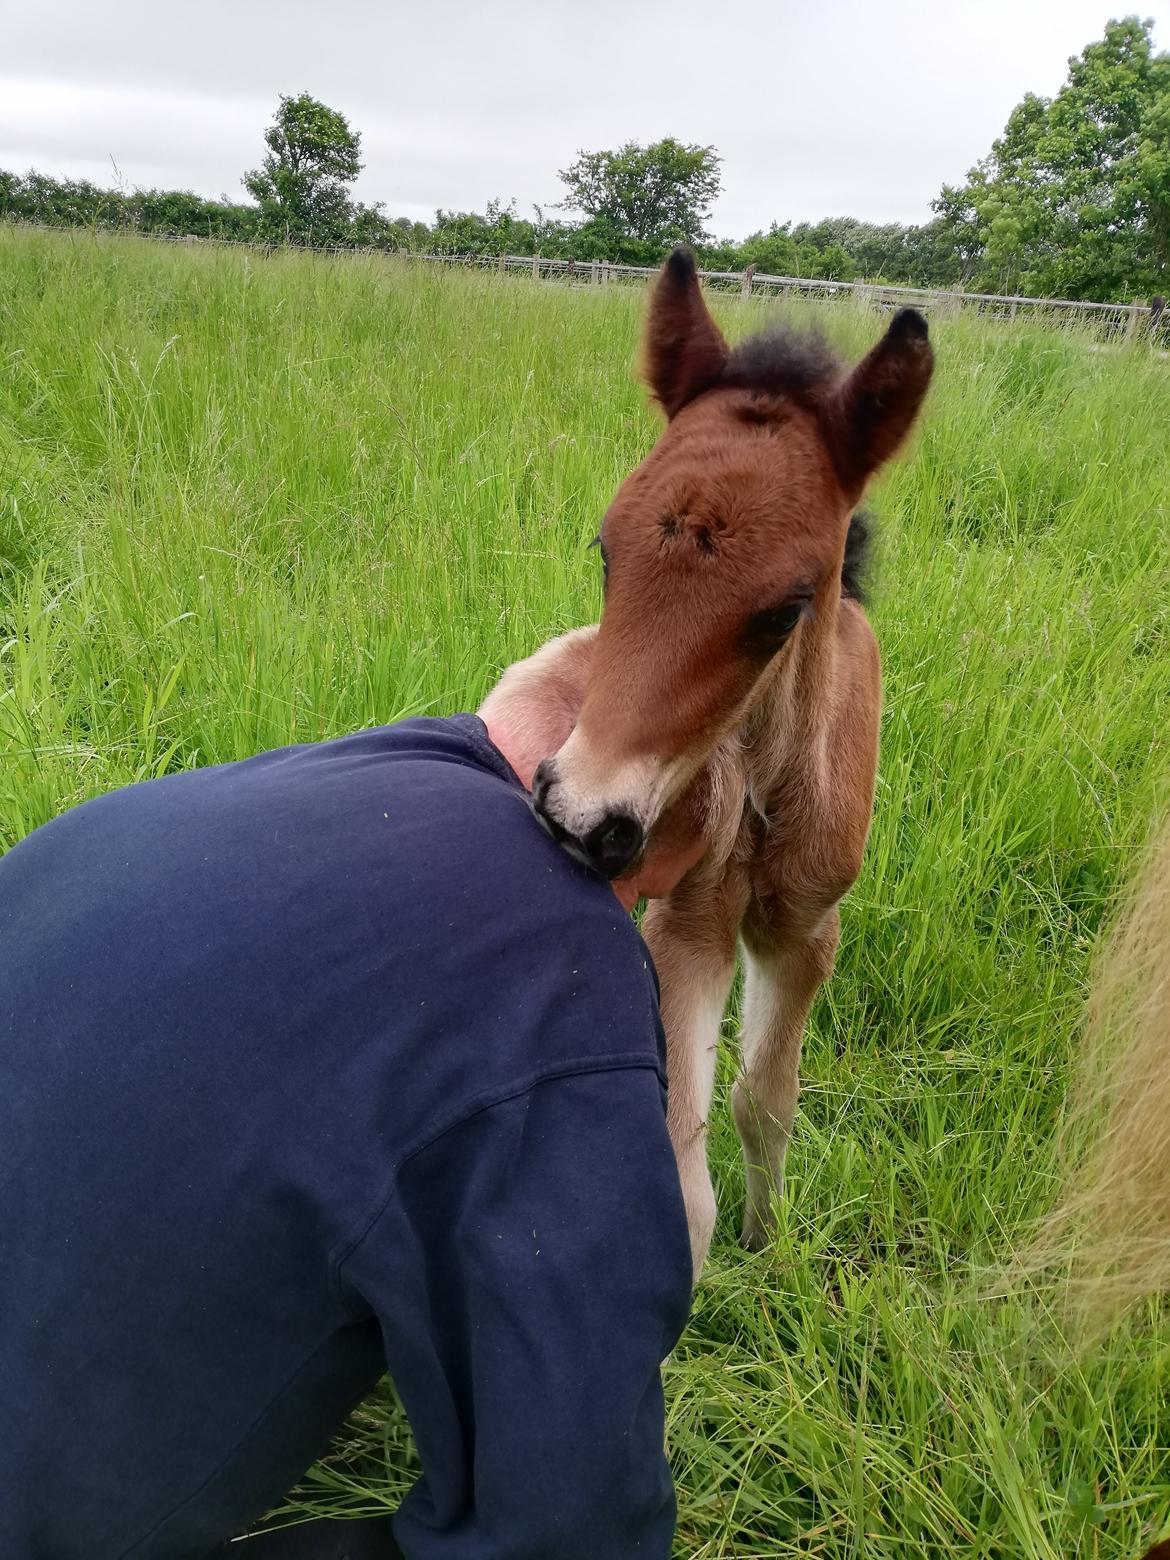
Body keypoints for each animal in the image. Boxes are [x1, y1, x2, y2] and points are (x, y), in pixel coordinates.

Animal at [477, 252, 935, 1279]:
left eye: (784, 610)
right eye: (605, 551)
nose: (582, 820)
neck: (765, 800)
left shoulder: (806, 930)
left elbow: (764, 1104)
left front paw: (772, 1249)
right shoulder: (687, 928)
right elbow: (683, 1186)